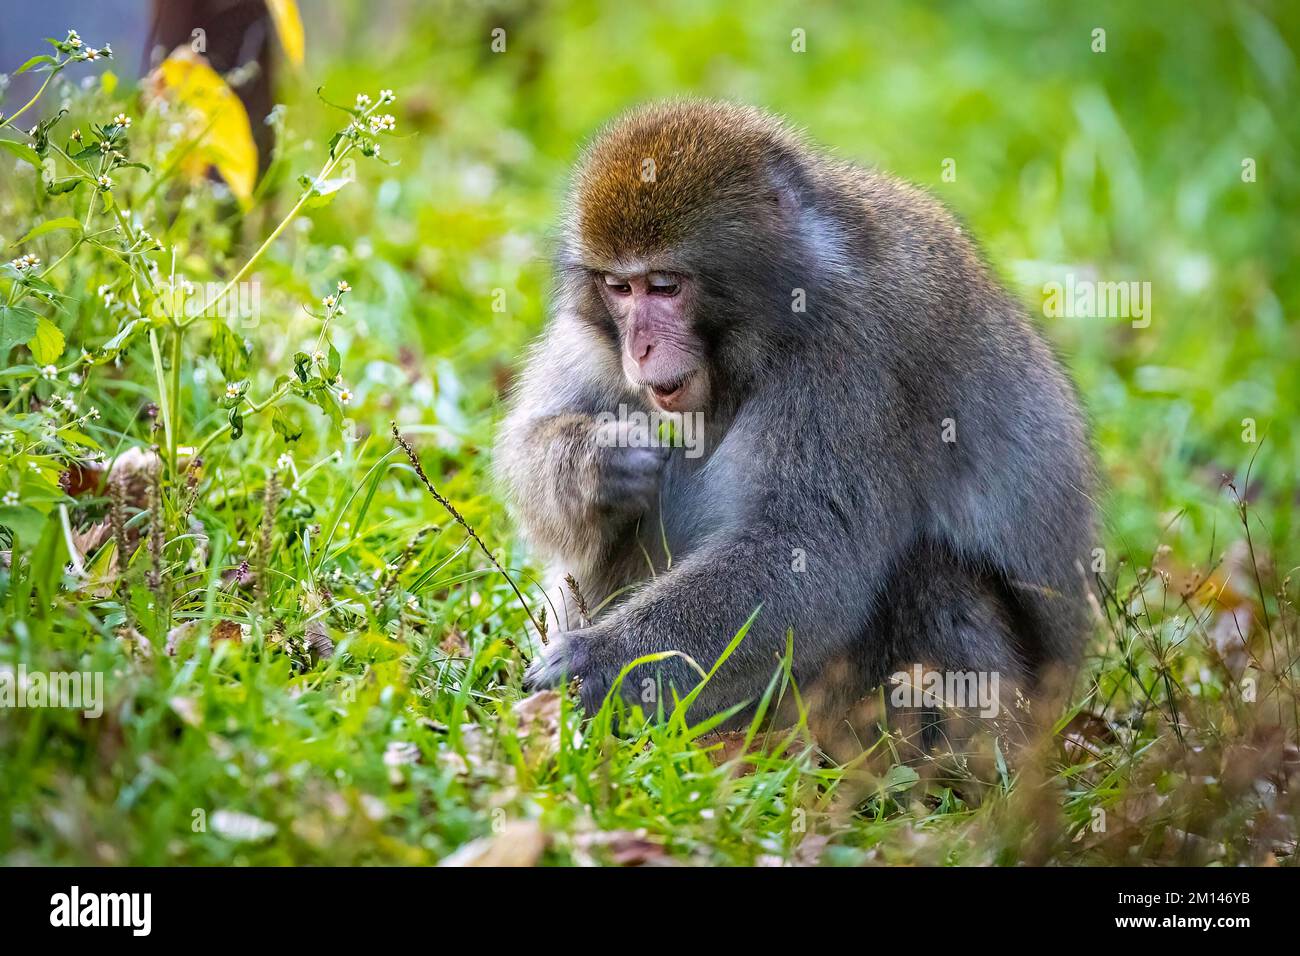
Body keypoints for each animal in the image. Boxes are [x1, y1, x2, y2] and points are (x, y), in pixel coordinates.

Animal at [496, 100, 1097, 749]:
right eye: (619, 288)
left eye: (664, 286)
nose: (641, 347)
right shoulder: (594, 338)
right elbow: (526, 449)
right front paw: (601, 464)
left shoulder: (851, 349)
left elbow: (808, 551)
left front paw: (598, 661)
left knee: (930, 570)